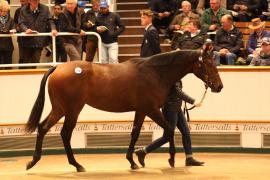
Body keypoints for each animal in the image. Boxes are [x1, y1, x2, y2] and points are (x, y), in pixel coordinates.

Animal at [25, 43, 223, 172]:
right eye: (208, 64)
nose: (219, 86)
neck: (155, 72)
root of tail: (58, 68)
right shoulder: (151, 109)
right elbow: (168, 130)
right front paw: (171, 158)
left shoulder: (141, 110)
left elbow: (135, 133)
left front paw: (133, 160)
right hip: (72, 110)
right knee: (65, 134)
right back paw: (77, 165)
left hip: (60, 109)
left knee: (42, 127)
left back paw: (33, 161)